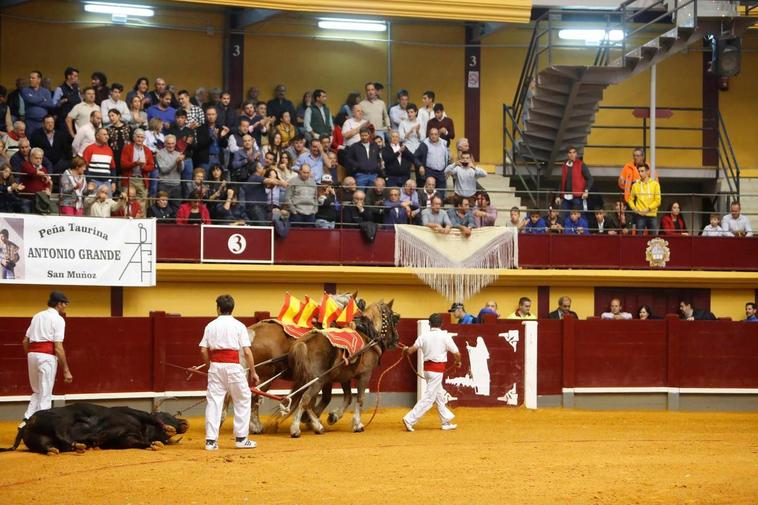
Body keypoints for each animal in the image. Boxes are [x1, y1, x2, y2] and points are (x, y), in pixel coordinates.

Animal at [0, 404, 190, 454]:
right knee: (63, 437)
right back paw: (83, 445)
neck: (144, 430)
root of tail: (29, 421)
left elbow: (139, 443)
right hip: (60, 421)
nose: (185, 422)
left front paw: (153, 444)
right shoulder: (133, 412)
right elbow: (153, 418)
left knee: (51, 446)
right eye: (167, 414)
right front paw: (167, 428)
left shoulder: (126, 439)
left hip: (40, 440)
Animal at [284, 300, 404, 438]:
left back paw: (317, 426)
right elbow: (360, 399)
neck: (369, 336)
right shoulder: (365, 374)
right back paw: (296, 428)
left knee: (308, 401)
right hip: (318, 381)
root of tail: (303, 342)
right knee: (305, 399)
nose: (396, 339)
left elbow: (348, 397)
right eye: (392, 318)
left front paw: (334, 416)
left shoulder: (344, 377)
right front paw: (357, 424)